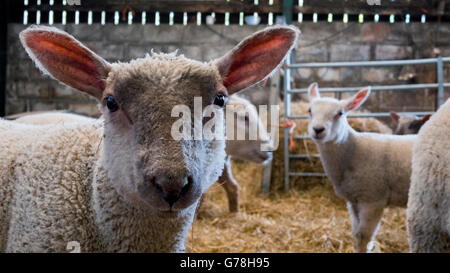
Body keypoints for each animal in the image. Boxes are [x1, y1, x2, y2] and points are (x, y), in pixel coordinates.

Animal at [308, 82, 416, 252]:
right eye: (309, 111)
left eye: (340, 113)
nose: (318, 129)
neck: (354, 150)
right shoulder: (353, 201)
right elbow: (355, 235)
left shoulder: (373, 199)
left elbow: (363, 237)